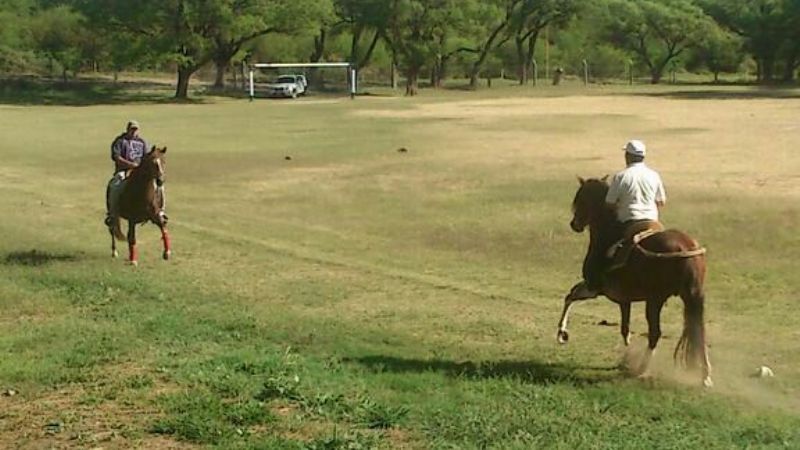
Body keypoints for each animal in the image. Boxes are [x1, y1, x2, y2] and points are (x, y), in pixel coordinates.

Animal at [557, 177, 712, 387]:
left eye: (580, 199)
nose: (575, 224)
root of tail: (686, 247)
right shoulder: (624, 299)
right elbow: (625, 327)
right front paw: (625, 358)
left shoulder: (593, 287)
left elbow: (570, 296)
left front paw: (562, 334)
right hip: (690, 297)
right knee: (699, 331)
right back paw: (705, 376)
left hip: (655, 300)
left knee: (655, 333)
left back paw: (641, 369)